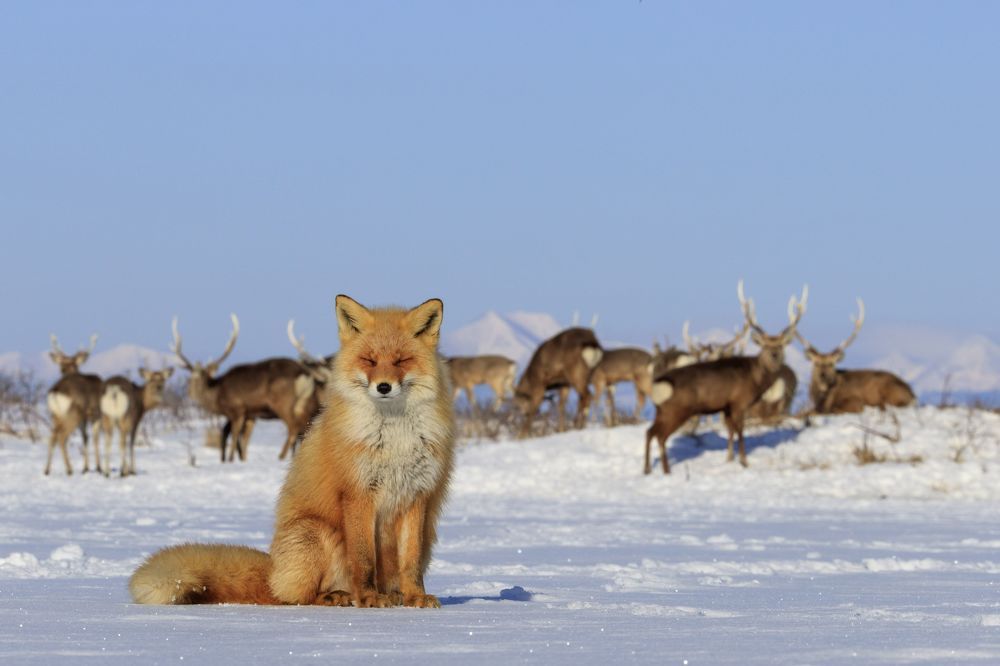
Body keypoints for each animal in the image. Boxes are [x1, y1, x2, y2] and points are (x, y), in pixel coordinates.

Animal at [129, 295, 456, 608]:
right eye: (369, 360)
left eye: (402, 360)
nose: (384, 387)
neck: (393, 439)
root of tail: (273, 570)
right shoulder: (358, 493)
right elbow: (364, 560)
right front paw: (370, 599)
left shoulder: (416, 496)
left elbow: (410, 562)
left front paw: (415, 597)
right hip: (316, 533)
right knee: (297, 595)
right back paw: (338, 596)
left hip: (427, 534)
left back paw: (392, 595)